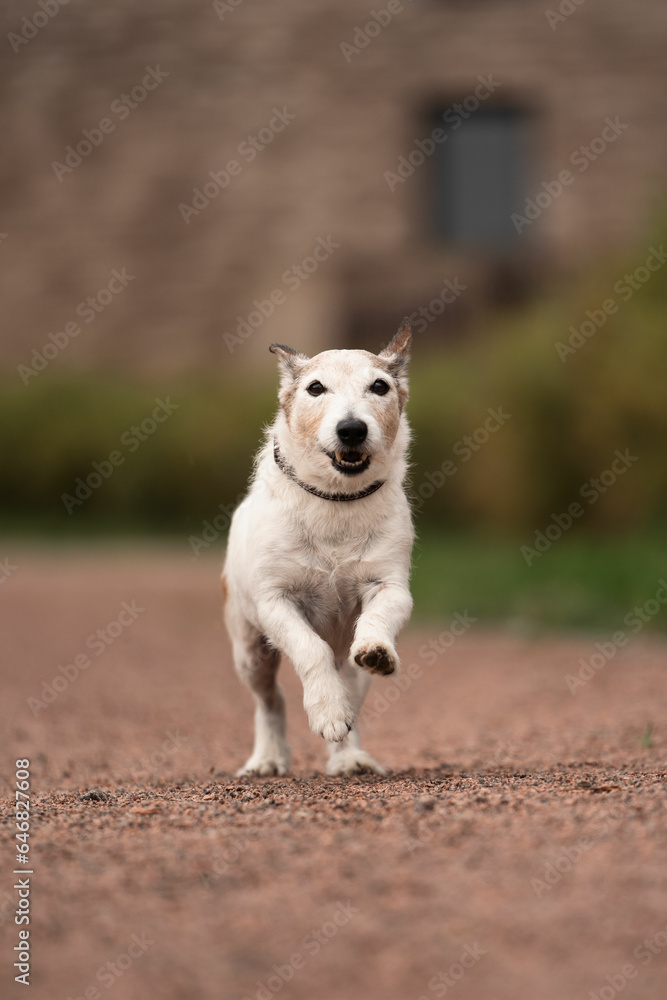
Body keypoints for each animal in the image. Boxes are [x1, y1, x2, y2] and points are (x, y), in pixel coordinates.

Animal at [222, 320, 414, 772]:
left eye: (379, 386)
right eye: (315, 388)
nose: (352, 429)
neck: (336, 500)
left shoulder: (391, 587)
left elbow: (378, 618)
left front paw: (377, 649)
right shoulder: (275, 601)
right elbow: (311, 649)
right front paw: (326, 710)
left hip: (352, 669)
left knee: (352, 697)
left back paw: (350, 757)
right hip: (250, 652)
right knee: (270, 701)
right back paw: (268, 758)